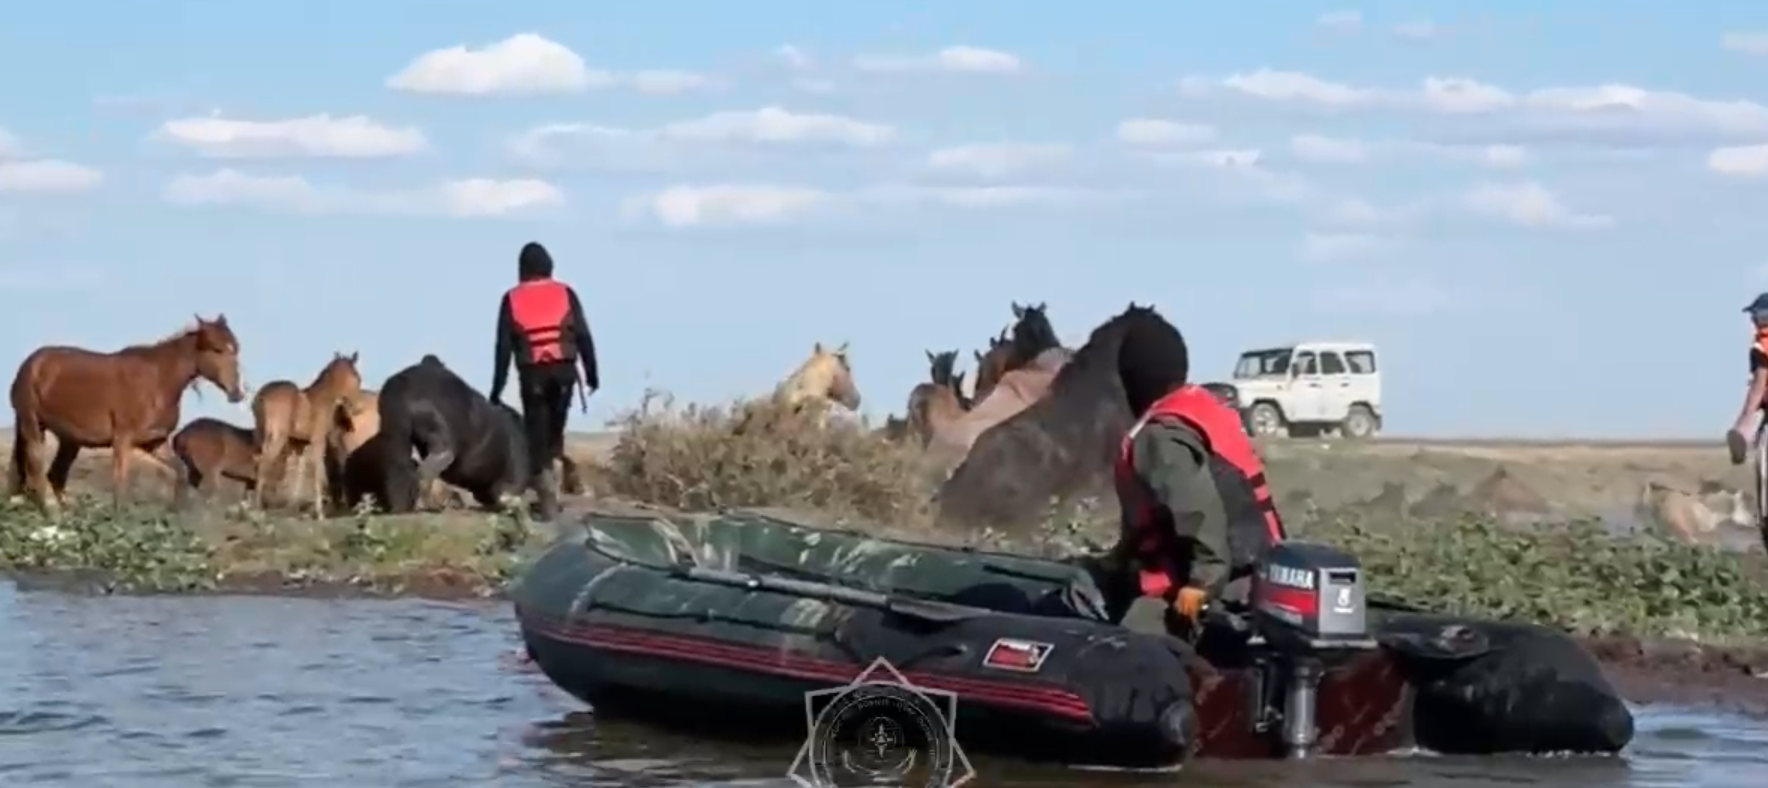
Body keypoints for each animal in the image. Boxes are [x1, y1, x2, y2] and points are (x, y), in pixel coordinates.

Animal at [6, 310, 245, 512]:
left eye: (235, 348)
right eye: (217, 349)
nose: (237, 393)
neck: (158, 381)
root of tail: (30, 364)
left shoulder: (154, 442)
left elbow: (180, 473)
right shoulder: (122, 440)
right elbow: (119, 486)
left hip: (70, 439)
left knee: (55, 476)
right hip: (33, 425)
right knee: (37, 470)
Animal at [249, 351, 362, 512]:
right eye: (356, 377)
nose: (358, 408)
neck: (323, 399)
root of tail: (261, 396)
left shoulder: (299, 444)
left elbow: (299, 472)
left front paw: (293, 506)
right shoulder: (318, 440)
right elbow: (318, 472)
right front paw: (320, 512)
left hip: (262, 436)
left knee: (258, 463)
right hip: (277, 437)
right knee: (264, 464)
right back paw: (257, 507)